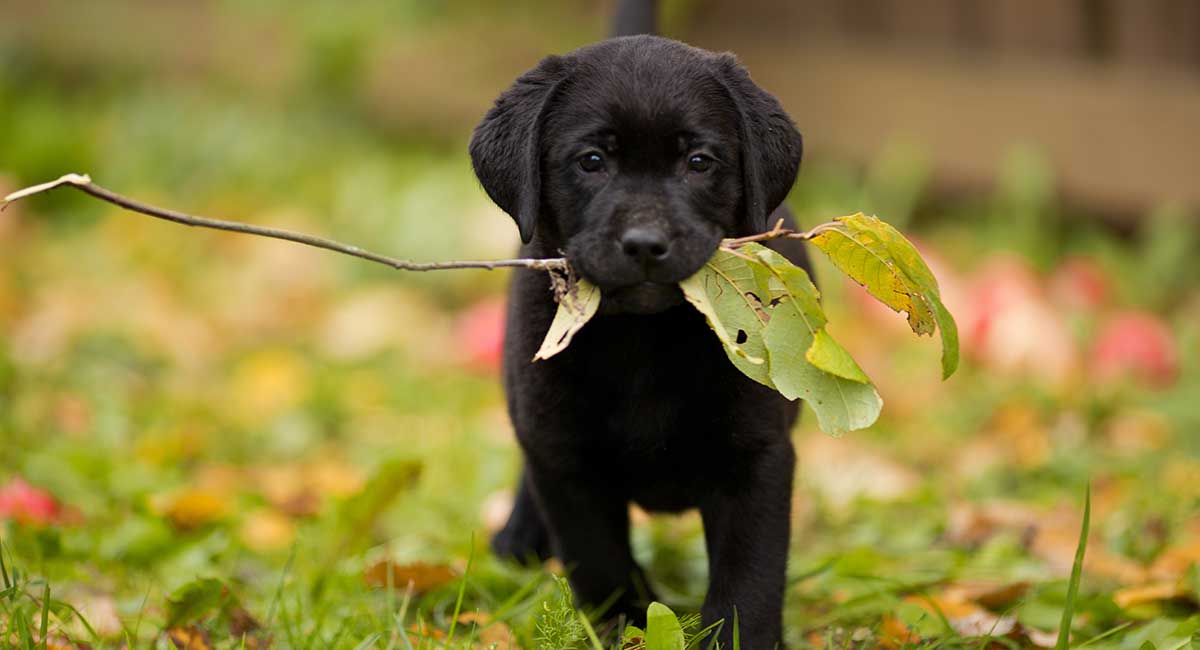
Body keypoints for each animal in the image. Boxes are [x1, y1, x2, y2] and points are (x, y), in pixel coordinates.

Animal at [468, 31, 806, 650]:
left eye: (698, 162)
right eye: (592, 161)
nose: (646, 242)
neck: (642, 340)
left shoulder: (758, 456)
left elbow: (749, 576)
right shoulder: (566, 458)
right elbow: (599, 561)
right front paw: (623, 625)